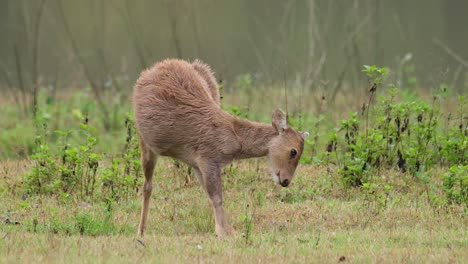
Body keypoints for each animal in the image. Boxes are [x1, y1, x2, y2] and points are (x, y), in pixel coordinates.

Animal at [132, 58, 308, 236]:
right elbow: (217, 197)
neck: (233, 142)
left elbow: (211, 194)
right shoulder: (207, 158)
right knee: (147, 186)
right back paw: (141, 230)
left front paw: (229, 230)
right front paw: (222, 233)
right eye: (293, 151)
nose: (286, 181)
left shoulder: (199, 163)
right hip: (145, 143)